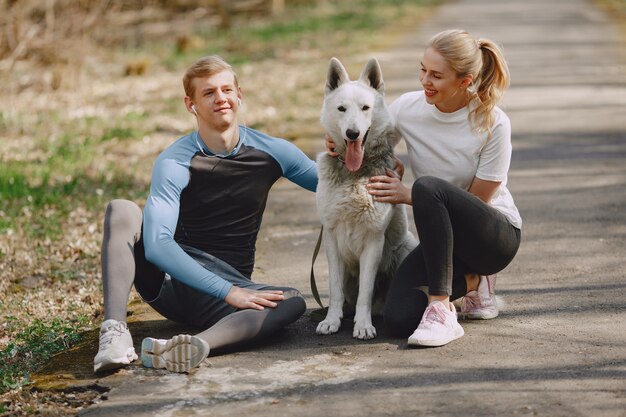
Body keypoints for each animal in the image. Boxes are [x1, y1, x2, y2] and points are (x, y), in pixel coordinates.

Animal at [314, 57, 416, 338]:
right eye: (341, 109)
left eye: (365, 108)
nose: (352, 133)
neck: (354, 172)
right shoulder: (331, 238)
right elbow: (335, 289)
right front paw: (332, 320)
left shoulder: (373, 241)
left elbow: (365, 292)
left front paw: (363, 325)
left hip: (405, 248)